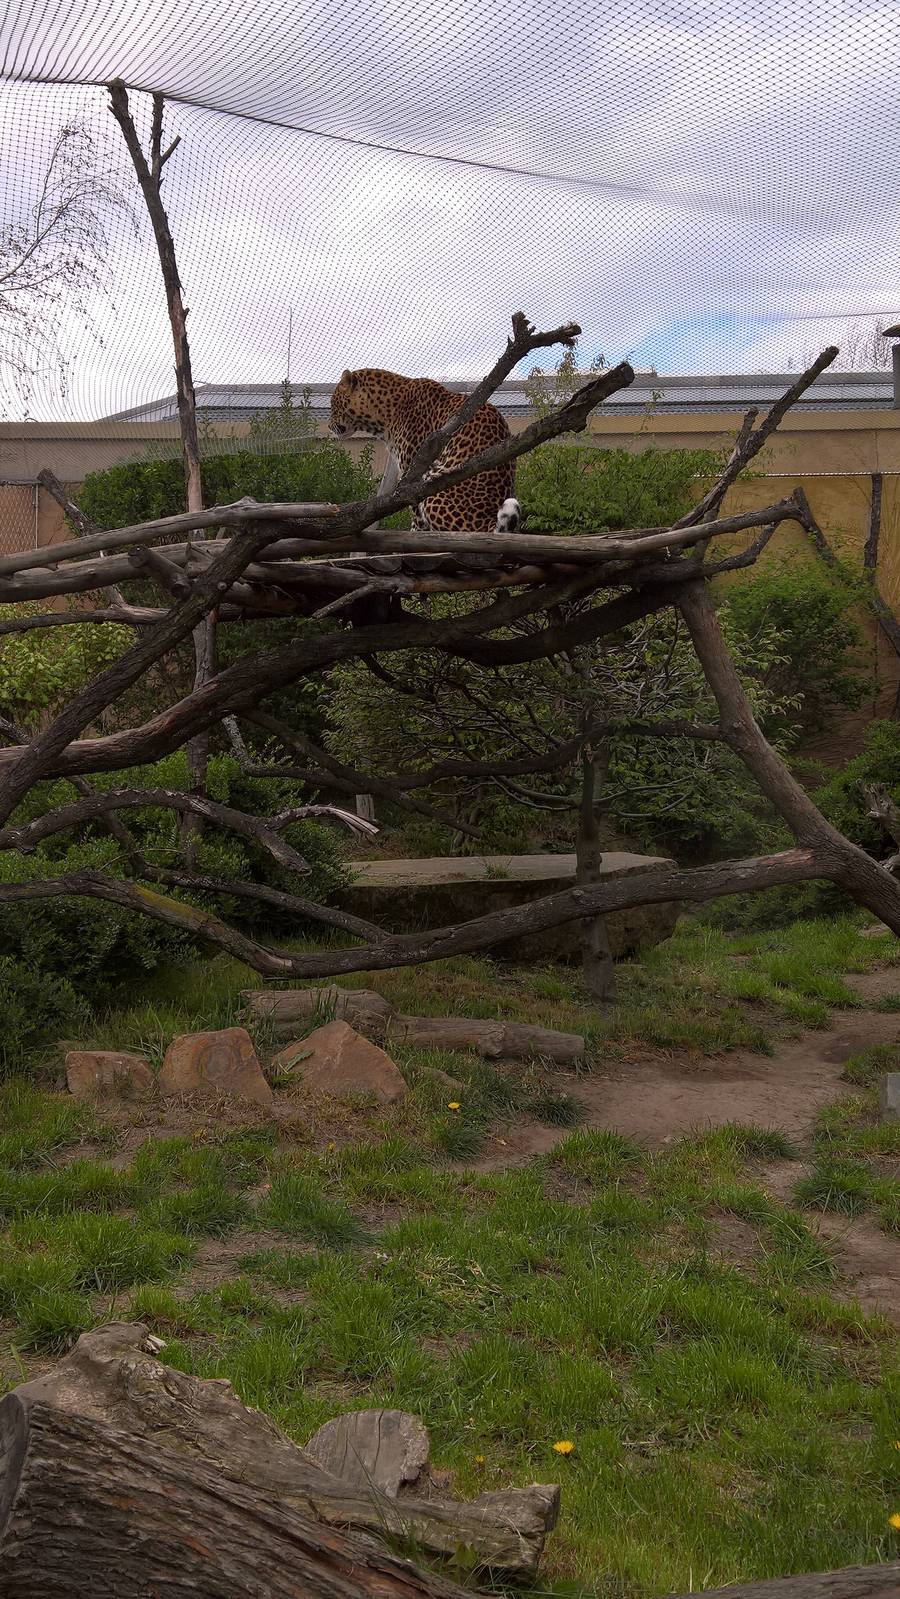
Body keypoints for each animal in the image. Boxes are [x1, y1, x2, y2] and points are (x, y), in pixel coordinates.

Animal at [329, 368, 515, 532]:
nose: (330, 426)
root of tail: (487, 520)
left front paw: (414, 533)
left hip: (434, 488)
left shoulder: (413, 475)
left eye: (332, 404)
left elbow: (416, 515)